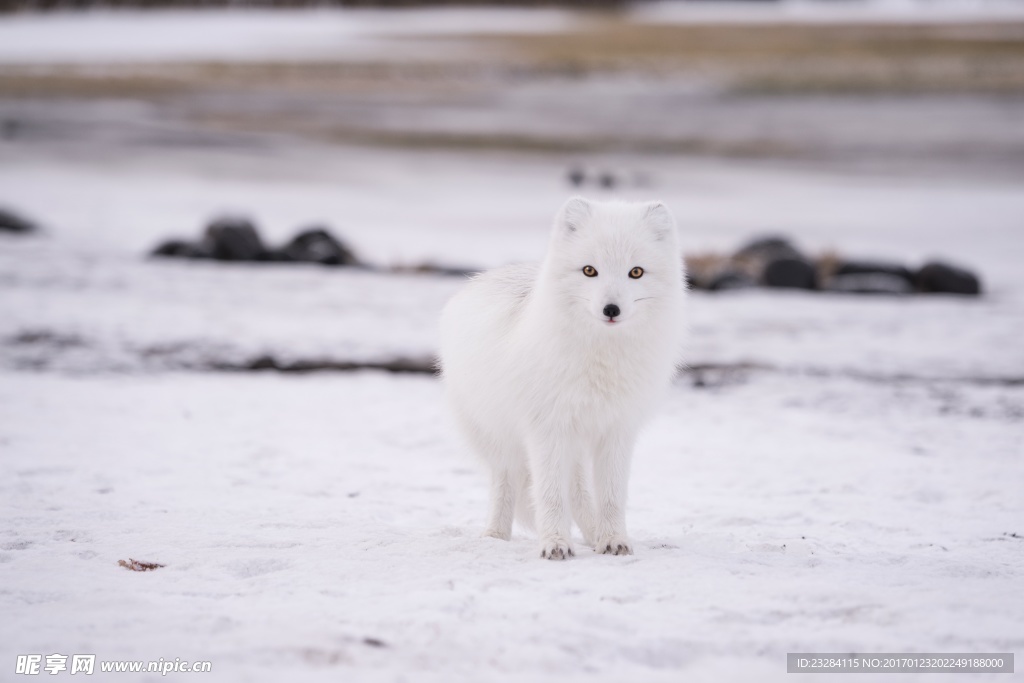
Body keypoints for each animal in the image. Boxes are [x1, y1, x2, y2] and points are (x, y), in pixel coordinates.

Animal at [436, 196, 684, 561]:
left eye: (635, 272)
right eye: (589, 270)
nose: (611, 309)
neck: (600, 360)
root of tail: (484, 277)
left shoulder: (617, 430)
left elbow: (611, 496)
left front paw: (613, 540)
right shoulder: (546, 429)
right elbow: (551, 495)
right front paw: (554, 544)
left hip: (575, 446)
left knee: (580, 493)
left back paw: (594, 536)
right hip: (501, 440)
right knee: (505, 483)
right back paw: (495, 536)